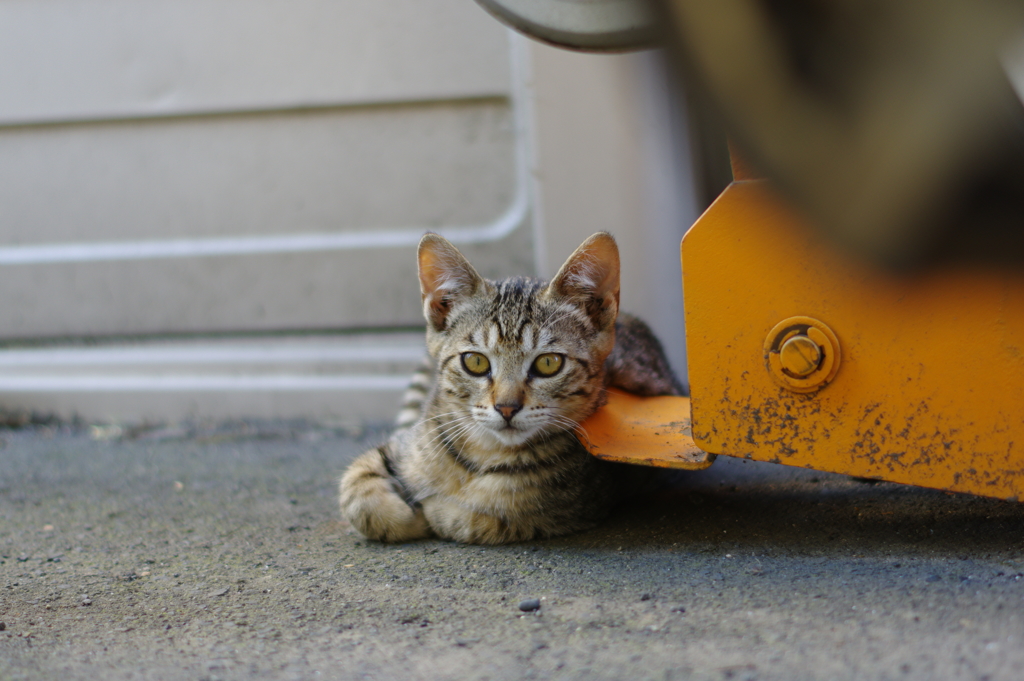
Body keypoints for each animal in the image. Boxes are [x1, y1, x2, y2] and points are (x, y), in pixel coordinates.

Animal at [339, 231, 684, 544]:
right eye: (475, 362)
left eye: (549, 363)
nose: (506, 407)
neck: (481, 454)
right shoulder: (404, 442)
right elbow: (356, 486)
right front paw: (400, 514)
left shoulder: (576, 503)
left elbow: (484, 515)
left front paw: (432, 512)